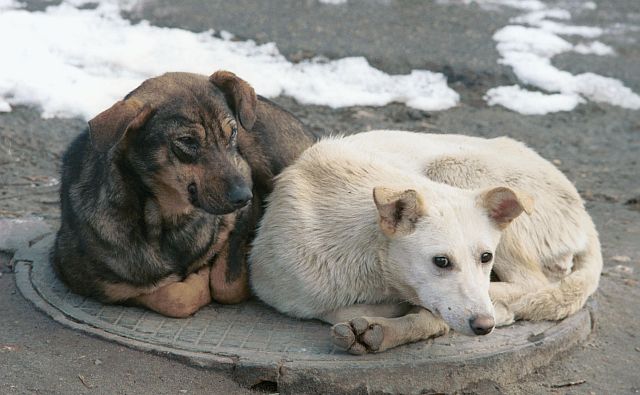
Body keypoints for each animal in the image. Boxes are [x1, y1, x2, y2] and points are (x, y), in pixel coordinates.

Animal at [51, 71, 316, 318]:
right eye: (187, 141)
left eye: (232, 133)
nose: (244, 196)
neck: (167, 220)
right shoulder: (92, 281)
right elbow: (174, 297)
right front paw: (197, 278)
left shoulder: (243, 199)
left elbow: (226, 284)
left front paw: (206, 271)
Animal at [249, 130, 600, 356]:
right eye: (441, 261)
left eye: (486, 257)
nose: (484, 326)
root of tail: (585, 213)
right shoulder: (279, 291)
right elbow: (339, 309)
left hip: (455, 167)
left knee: (533, 283)